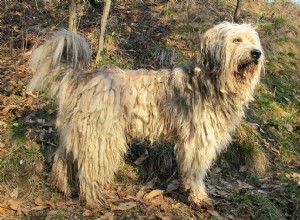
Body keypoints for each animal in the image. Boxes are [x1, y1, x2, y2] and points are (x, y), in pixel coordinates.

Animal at [27, 22, 264, 208]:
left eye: (253, 41)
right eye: (236, 40)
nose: (256, 53)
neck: (209, 83)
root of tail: (82, 78)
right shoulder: (197, 143)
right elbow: (195, 173)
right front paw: (198, 198)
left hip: (77, 131)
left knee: (62, 158)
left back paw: (65, 188)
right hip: (101, 137)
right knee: (90, 169)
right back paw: (94, 199)